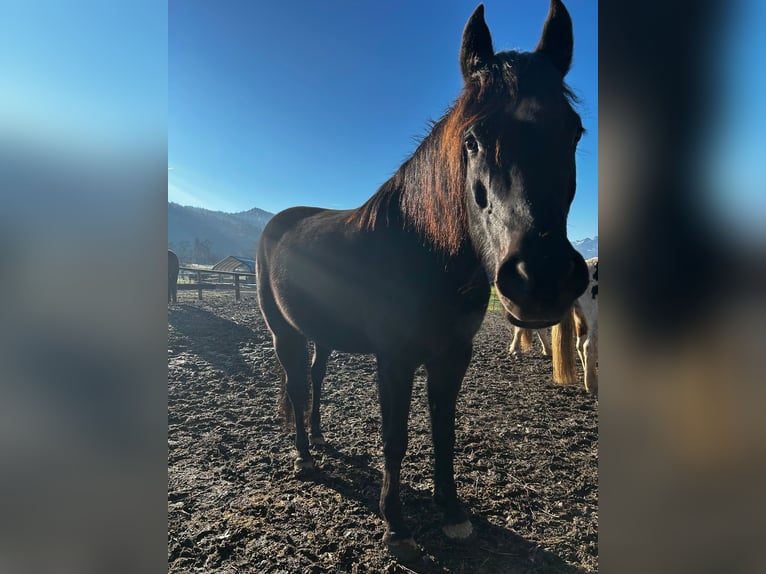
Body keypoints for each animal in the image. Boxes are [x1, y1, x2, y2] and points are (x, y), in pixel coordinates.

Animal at [258, 0, 588, 560]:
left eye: (575, 132)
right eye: (472, 139)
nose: (540, 278)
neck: (423, 252)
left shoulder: (453, 355)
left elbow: (444, 432)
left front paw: (452, 513)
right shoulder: (394, 360)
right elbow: (395, 437)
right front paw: (396, 526)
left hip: (322, 334)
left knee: (316, 379)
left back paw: (320, 440)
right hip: (284, 332)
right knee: (297, 385)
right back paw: (304, 457)